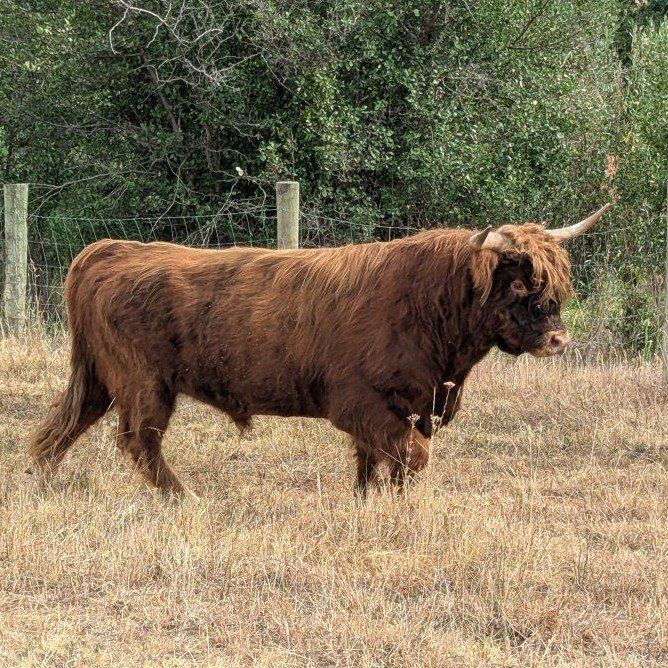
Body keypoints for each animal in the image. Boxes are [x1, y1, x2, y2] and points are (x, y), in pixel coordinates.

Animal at [28, 204, 611, 498]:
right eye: (520, 284)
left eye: (556, 283)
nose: (558, 338)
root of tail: (111, 249)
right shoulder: (359, 403)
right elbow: (412, 456)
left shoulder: (408, 405)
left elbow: (378, 463)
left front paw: (373, 504)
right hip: (145, 382)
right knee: (138, 440)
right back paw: (182, 496)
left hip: (102, 377)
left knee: (64, 426)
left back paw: (43, 481)